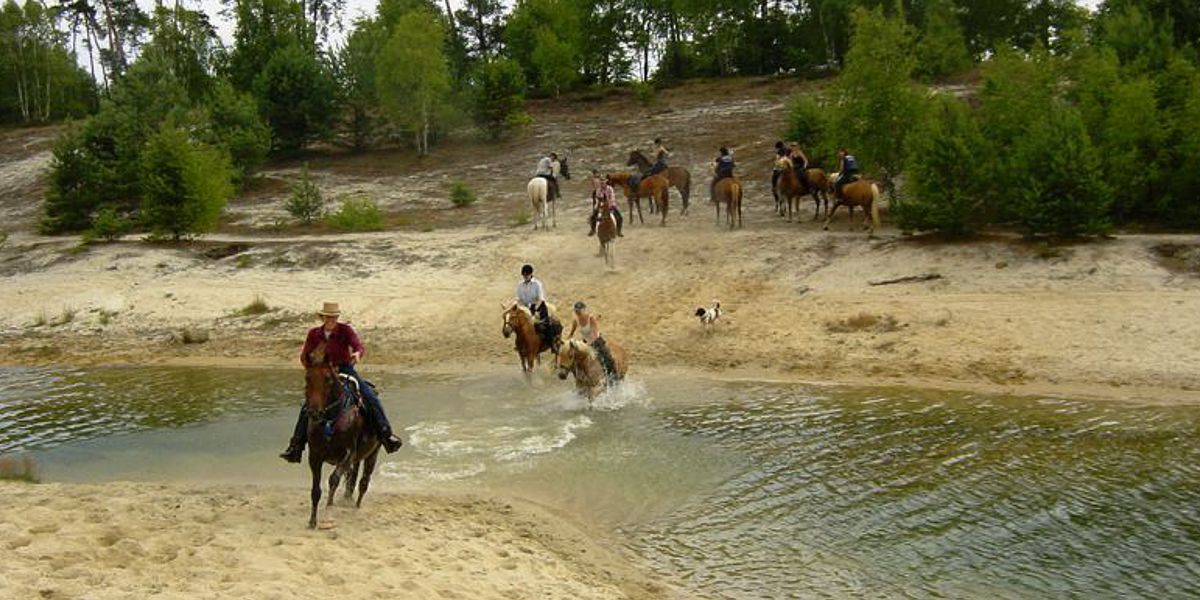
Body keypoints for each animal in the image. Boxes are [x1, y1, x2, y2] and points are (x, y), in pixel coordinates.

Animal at [300, 343, 379, 530]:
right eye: (307, 378)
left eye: (328, 379)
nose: (314, 413)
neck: (331, 421)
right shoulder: (315, 457)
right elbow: (315, 490)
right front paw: (312, 521)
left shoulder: (346, 455)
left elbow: (333, 480)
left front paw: (329, 511)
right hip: (358, 458)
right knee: (353, 478)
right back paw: (348, 500)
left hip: (373, 454)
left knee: (364, 481)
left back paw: (356, 507)